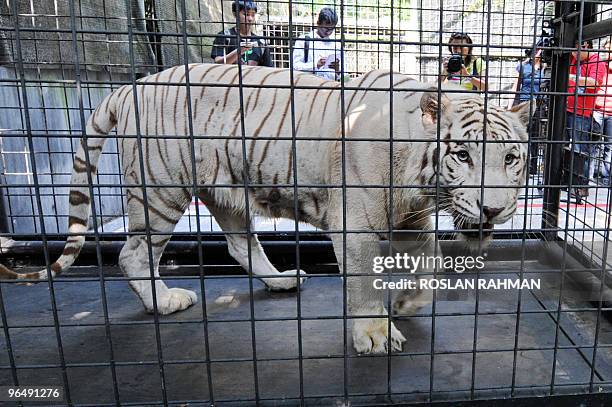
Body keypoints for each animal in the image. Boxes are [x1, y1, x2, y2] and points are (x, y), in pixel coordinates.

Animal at [0, 63, 528, 354]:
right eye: (463, 155)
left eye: (511, 158)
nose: (494, 209)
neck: (422, 183)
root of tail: (134, 85)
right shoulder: (356, 223)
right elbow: (362, 282)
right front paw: (376, 332)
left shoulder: (413, 222)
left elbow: (433, 263)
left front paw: (404, 303)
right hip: (161, 191)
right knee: (133, 254)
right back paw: (163, 302)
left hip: (225, 192)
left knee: (240, 244)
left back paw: (280, 281)